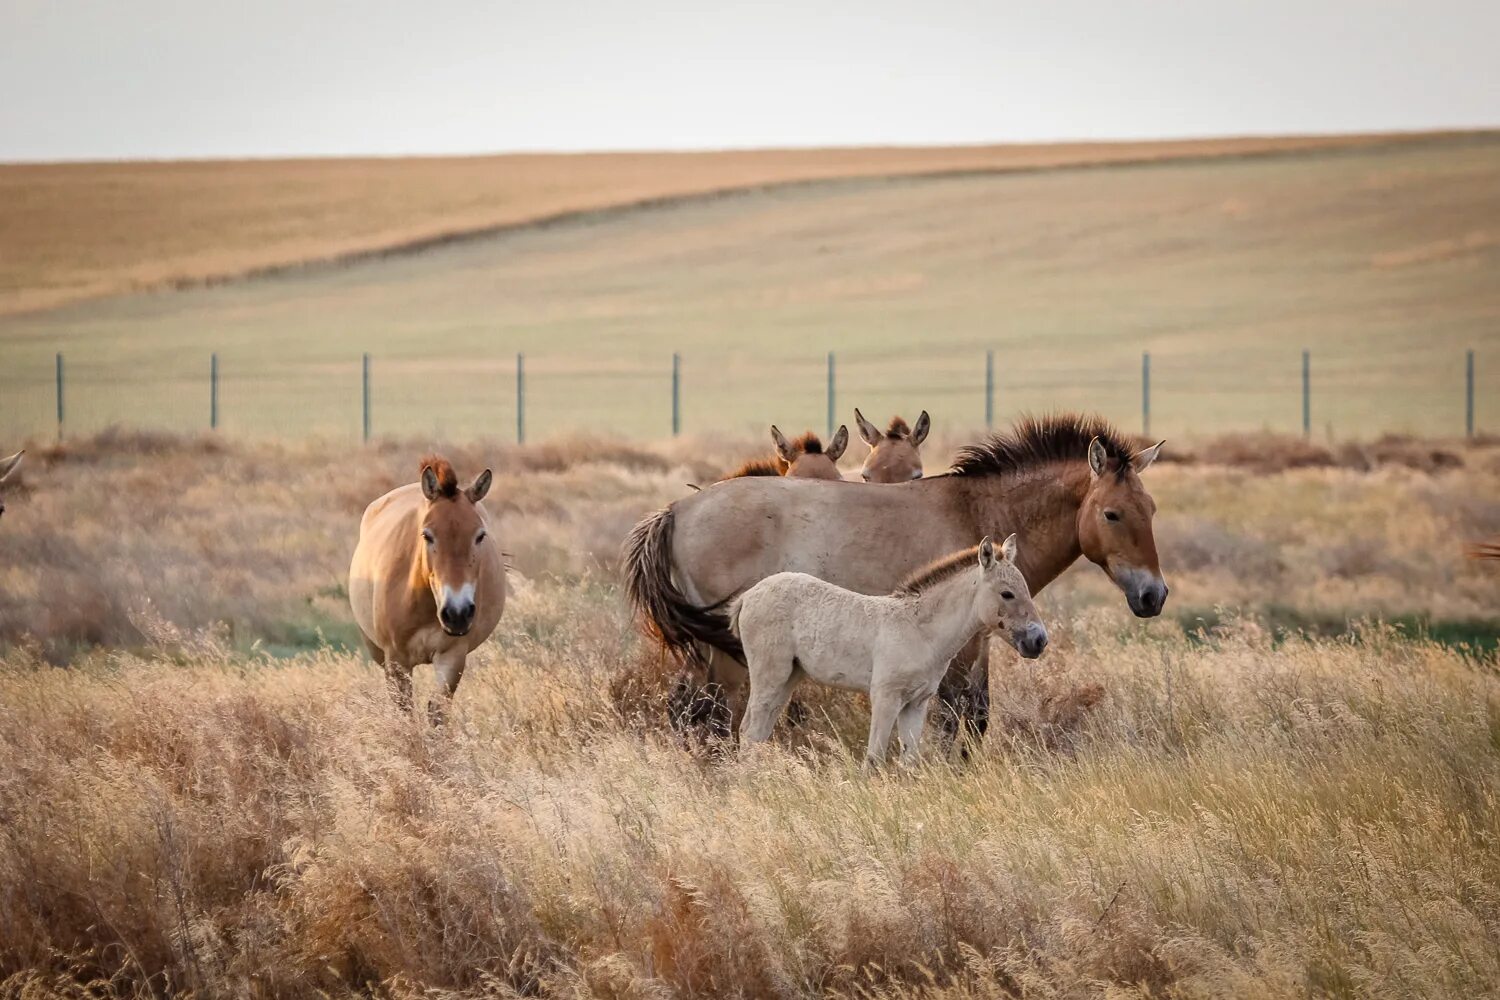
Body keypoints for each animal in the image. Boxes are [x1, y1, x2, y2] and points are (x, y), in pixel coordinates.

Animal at [351, 452, 510, 719]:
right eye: (427, 535)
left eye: (480, 536)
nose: (457, 613)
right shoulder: (396, 661)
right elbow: (405, 714)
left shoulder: (452, 657)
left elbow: (437, 712)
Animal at [732, 539, 1050, 767]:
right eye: (1007, 594)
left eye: (1026, 589)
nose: (1039, 640)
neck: (919, 631)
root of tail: (749, 595)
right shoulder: (885, 696)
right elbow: (874, 757)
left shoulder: (916, 703)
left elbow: (909, 761)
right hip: (770, 674)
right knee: (748, 731)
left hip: (789, 677)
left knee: (758, 732)